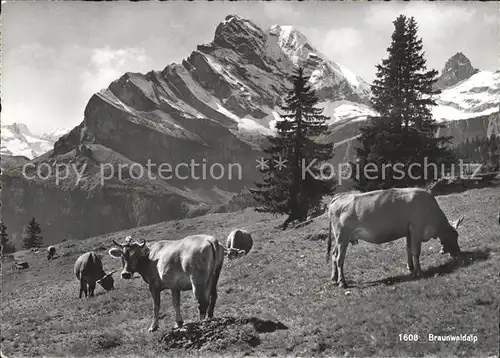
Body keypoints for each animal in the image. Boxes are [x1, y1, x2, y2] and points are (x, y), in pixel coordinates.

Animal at [326, 187, 462, 288]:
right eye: (456, 235)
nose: (459, 253)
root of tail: (339, 197)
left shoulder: (409, 231)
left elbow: (408, 250)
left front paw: (410, 268)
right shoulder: (417, 229)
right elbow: (416, 252)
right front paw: (420, 272)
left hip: (339, 239)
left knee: (333, 254)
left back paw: (334, 278)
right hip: (342, 237)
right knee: (339, 258)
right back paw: (342, 282)